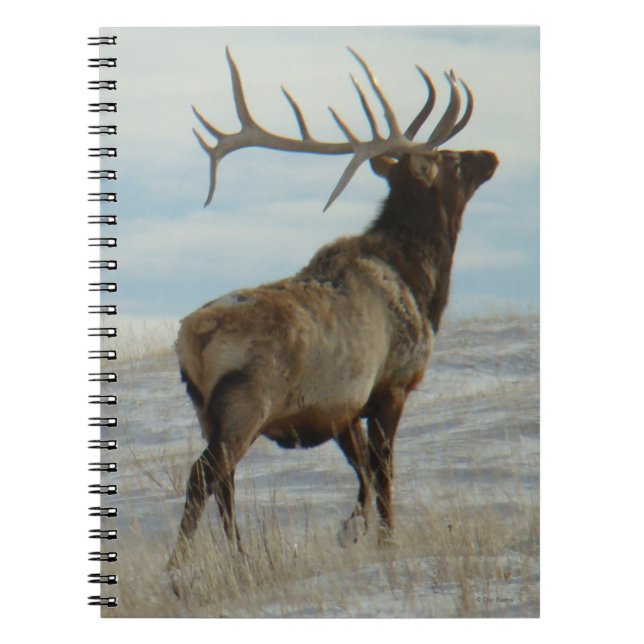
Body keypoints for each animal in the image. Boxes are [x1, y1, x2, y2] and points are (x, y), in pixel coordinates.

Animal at [168, 47, 498, 570]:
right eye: (448, 158)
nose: (489, 155)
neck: (422, 284)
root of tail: (192, 338)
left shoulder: (341, 406)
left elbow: (361, 470)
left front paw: (352, 530)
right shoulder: (391, 383)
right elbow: (383, 470)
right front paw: (385, 539)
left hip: (205, 408)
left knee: (225, 482)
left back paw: (240, 557)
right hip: (247, 401)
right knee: (205, 475)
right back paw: (178, 567)